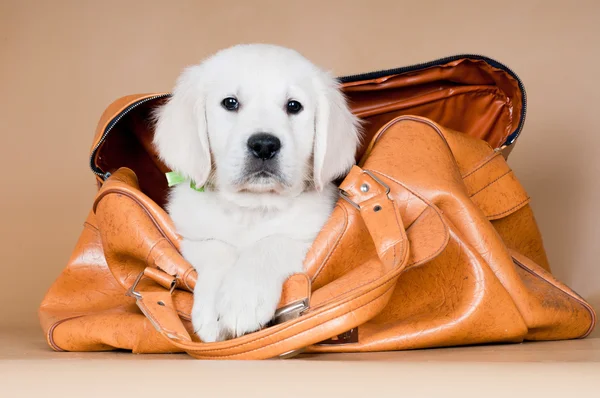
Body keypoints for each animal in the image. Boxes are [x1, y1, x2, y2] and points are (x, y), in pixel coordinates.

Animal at [155, 43, 360, 342]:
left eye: (293, 106)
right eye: (230, 103)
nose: (264, 145)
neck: (251, 208)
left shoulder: (311, 233)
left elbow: (271, 242)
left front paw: (244, 297)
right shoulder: (193, 236)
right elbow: (218, 249)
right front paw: (214, 309)